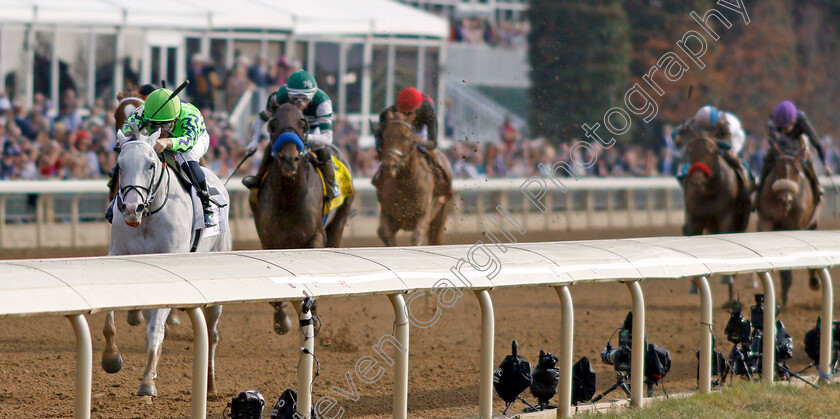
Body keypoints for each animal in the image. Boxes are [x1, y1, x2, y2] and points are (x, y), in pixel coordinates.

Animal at [102, 128, 233, 398]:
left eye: (150, 165)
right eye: (119, 165)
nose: (132, 208)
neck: (148, 217)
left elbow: (155, 330)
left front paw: (147, 383)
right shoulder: (118, 257)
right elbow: (111, 320)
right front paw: (111, 358)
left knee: (212, 334)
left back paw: (211, 386)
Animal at [249, 104, 354, 334]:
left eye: (302, 124)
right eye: (273, 124)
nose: (289, 159)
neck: (289, 198)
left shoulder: (316, 238)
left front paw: (312, 316)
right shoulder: (269, 240)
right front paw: (281, 319)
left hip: (340, 218)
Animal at [680, 136, 752, 304]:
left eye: (712, 151)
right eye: (689, 151)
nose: (696, 181)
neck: (708, 192)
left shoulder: (726, 216)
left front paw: (727, 278)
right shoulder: (695, 218)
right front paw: (694, 285)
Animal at [756, 141, 820, 306]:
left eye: (797, 171)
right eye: (776, 170)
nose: (786, 199)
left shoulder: (797, 225)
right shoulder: (766, 221)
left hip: (811, 223)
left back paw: (814, 281)